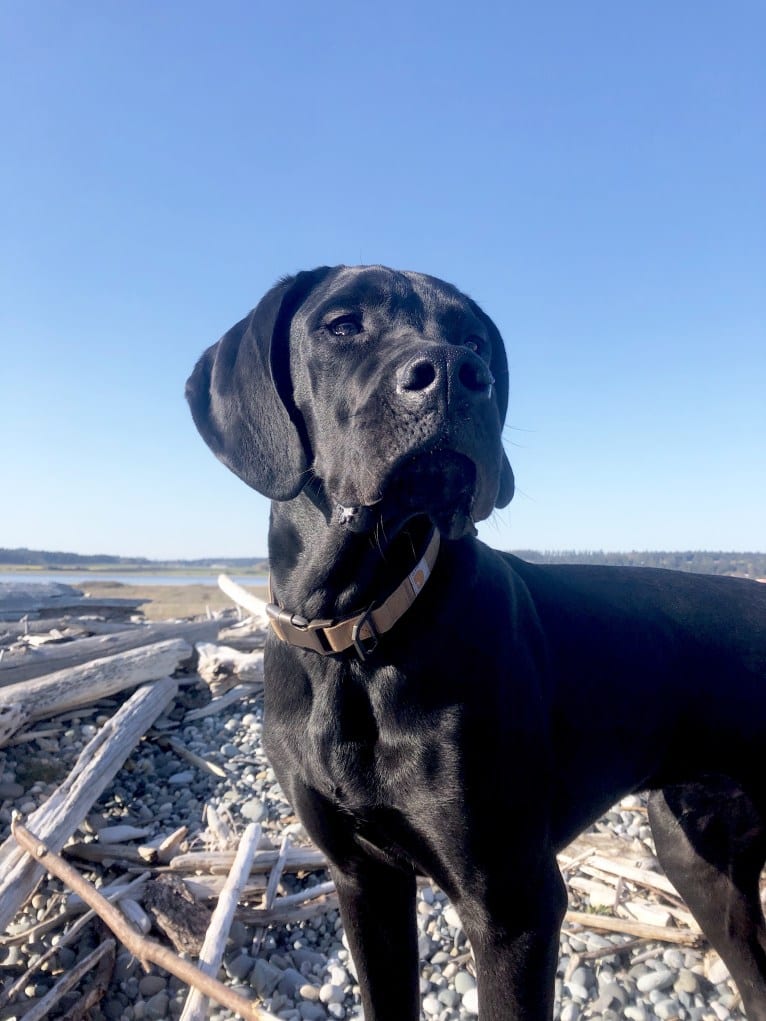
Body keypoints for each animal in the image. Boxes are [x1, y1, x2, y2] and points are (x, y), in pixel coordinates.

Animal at [187, 267, 766, 1016]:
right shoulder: (361, 878)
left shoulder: (512, 906)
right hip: (698, 854)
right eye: (342, 325)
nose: (458, 376)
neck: (356, 634)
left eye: (475, 341)